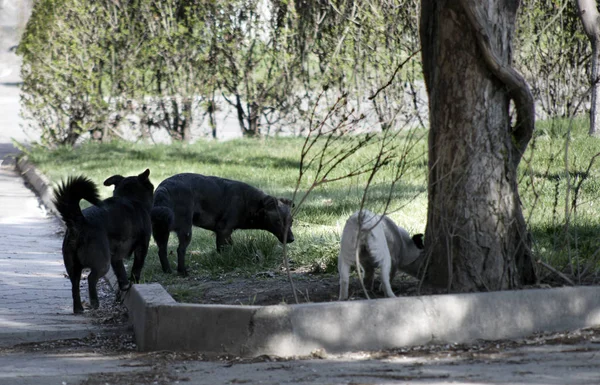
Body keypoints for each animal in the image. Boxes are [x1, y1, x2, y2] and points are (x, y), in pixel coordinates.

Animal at [53, 168, 155, 312]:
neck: (130, 197)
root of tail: (80, 221)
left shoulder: (116, 256)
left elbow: (120, 271)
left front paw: (124, 285)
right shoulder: (142, 246)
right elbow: (136, 268)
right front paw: (134, 282)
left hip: (73, 267)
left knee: (75, 285)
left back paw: (78, 308)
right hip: (103, 264)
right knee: (91, 279)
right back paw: (94, 303)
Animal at [151, 172, 294, 274]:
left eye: (291, 221)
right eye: (278, 221)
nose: (292, 239)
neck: (250, 202)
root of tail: (164, 188)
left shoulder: (227, 234)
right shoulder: (223, 230)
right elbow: (222, 251)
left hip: (161, 231)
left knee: (161, 251)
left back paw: (168, 271)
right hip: (185, 230)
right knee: (180, 250)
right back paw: (183, 272)